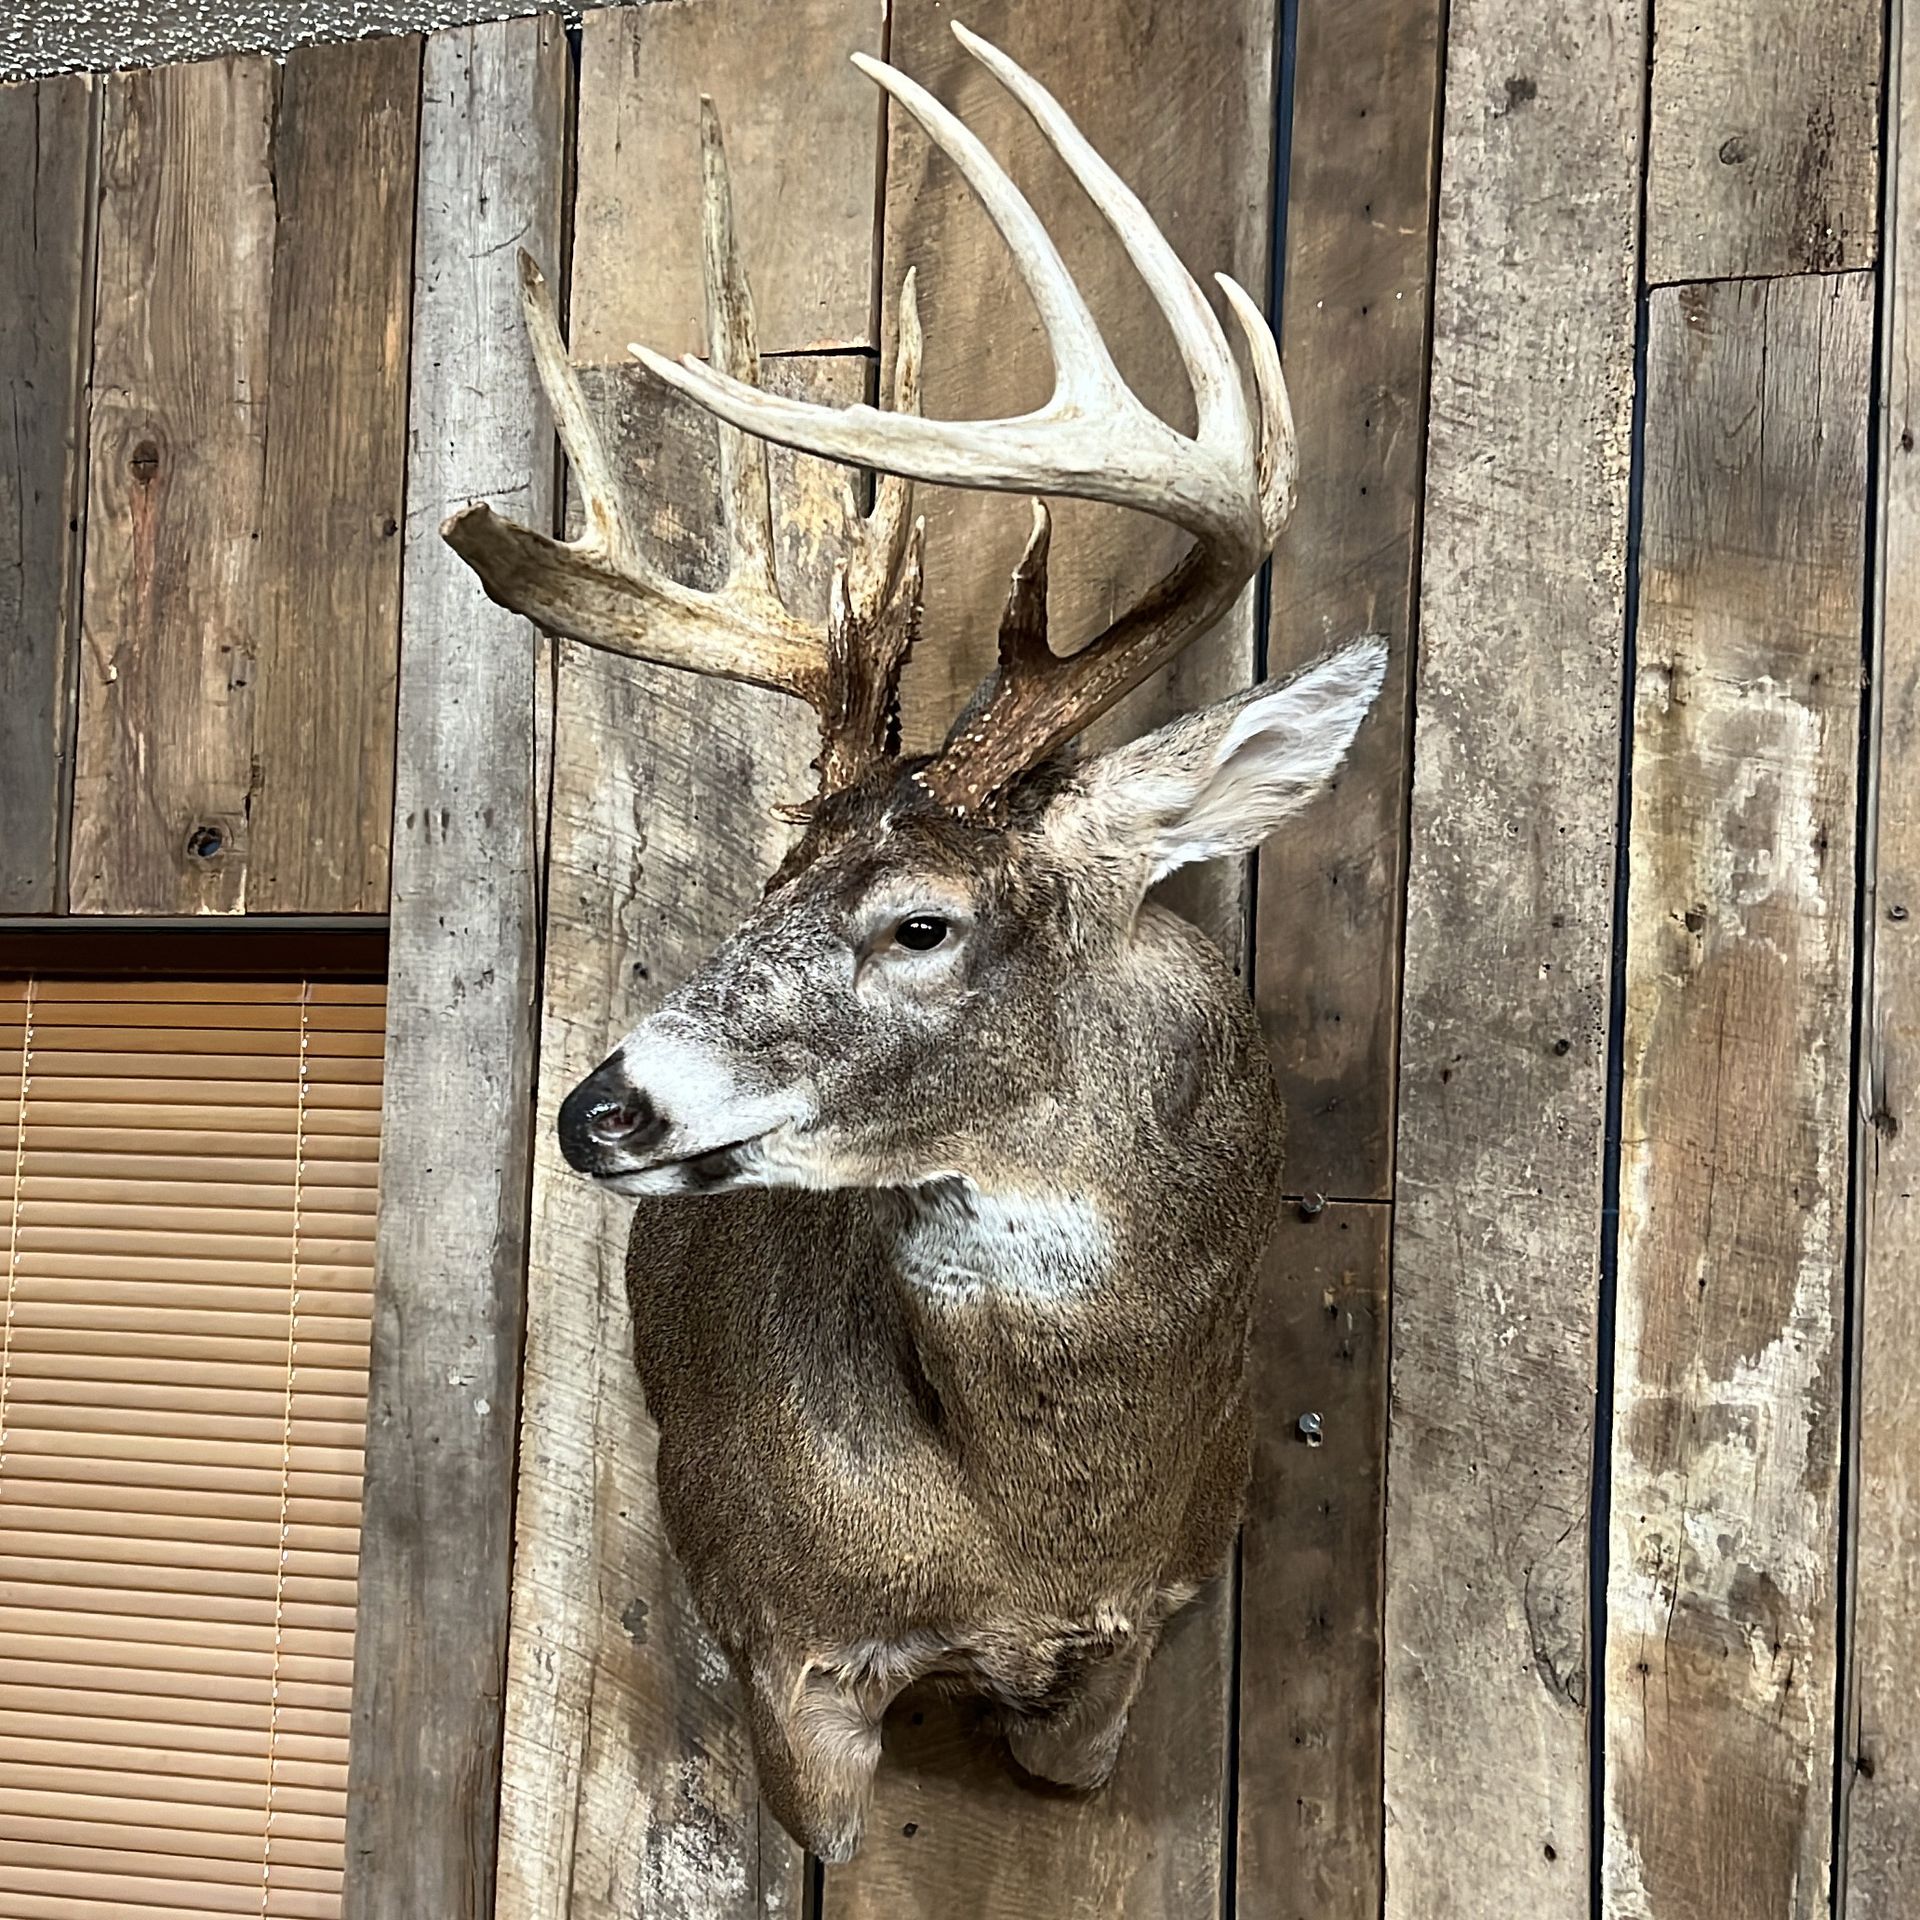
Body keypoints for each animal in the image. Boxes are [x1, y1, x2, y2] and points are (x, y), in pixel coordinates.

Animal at [445, 20, 1385, 1865]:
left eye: (919, 923)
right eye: (765, 885)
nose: (601, 1108)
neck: (1036, 1529)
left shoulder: (1158, 1615)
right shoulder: (781, 1633)